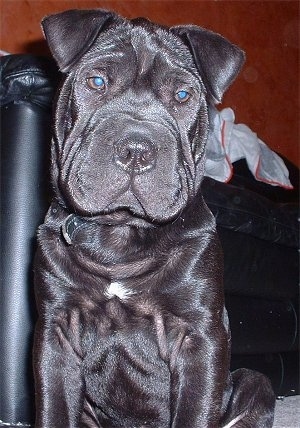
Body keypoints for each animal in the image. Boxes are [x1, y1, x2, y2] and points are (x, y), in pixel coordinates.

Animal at [34, 9, 276, 428]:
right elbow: (54, 409)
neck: (121, 234)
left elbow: (195, 410)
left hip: (254, 381)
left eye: (182, 95)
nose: (136, 148)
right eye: (97, 81)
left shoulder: (198, 338)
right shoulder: (57, 331)